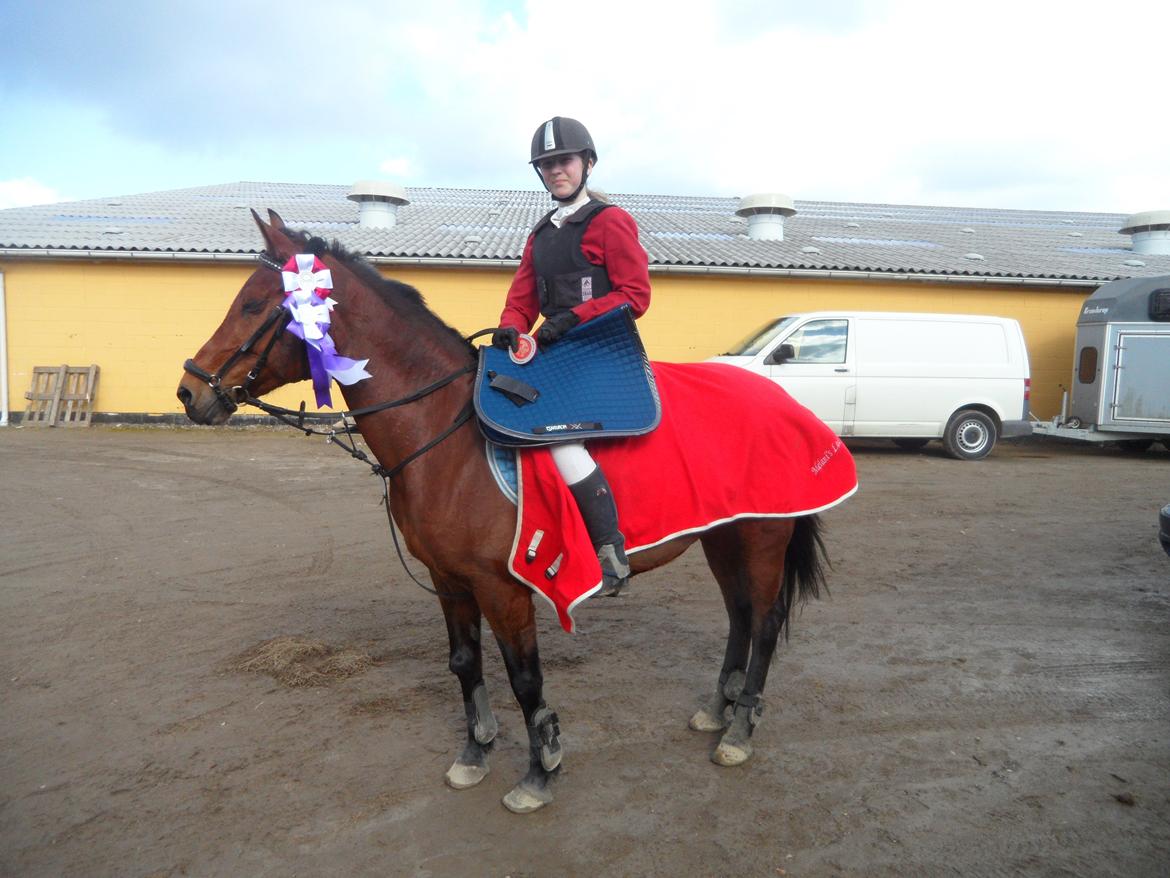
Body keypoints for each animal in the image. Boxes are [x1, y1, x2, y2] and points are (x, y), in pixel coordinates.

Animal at [177, 210, 839, 814]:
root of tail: (783, 397)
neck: (444, 432)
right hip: (722, 538)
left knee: (764, 623)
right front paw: (475, 753)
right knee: (739, 616)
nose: (190, 391)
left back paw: (740, 730)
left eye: (253, 304)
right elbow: (465, 664)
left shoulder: (504, 587)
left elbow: (525, 679)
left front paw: (540, 770)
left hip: (760, 539)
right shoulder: (450, 581)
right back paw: (717, 710)